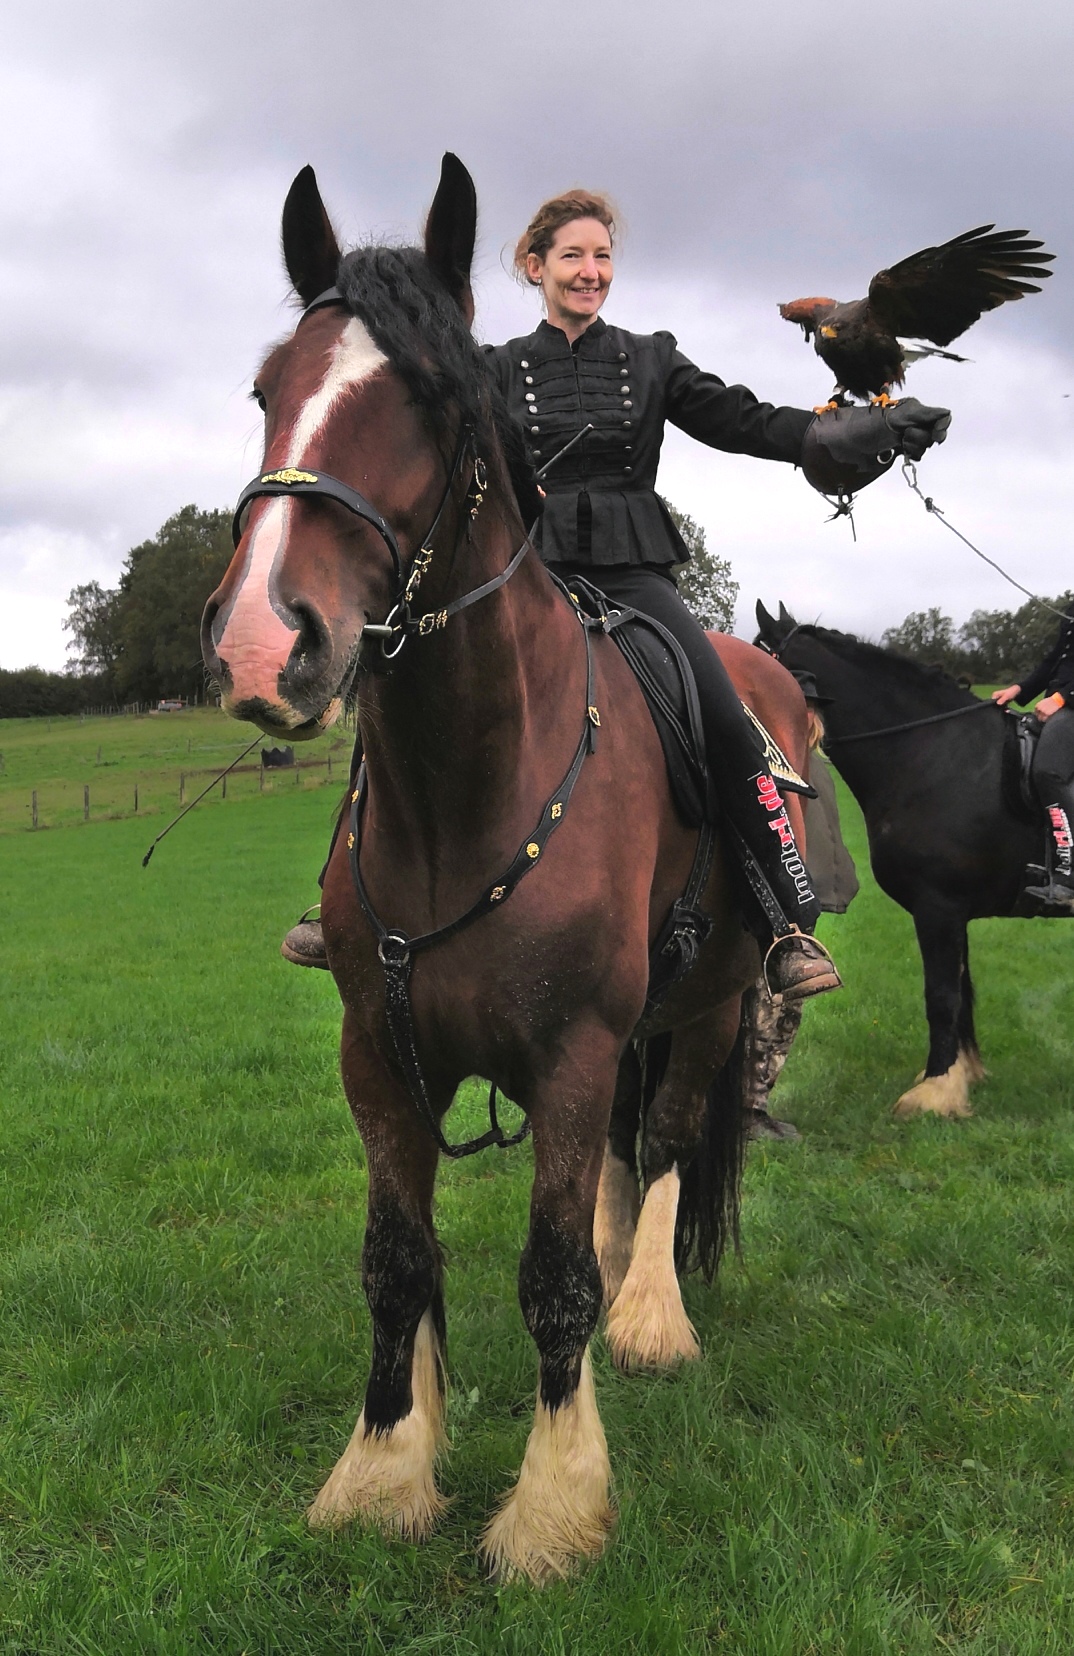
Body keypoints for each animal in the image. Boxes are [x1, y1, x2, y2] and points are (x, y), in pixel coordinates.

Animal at [201, 158, 807, 1589]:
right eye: (267, 390)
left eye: (431, 399)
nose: (259, 645)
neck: (463, 797)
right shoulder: (381, 1055)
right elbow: (397, 1261)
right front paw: (382, 1467)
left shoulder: (575, 1051)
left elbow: (550, 1281)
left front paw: (554, 1507)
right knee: (625, 1163)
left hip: (713, 999)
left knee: (673, 1141)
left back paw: (651, 1317)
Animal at [754, 602, 1052, 1119]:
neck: (937, 754)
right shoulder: (951, 911)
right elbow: (961, 993)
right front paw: (959, 1076)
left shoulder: (938, 908)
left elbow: (942, 995)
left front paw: (935, 1091)